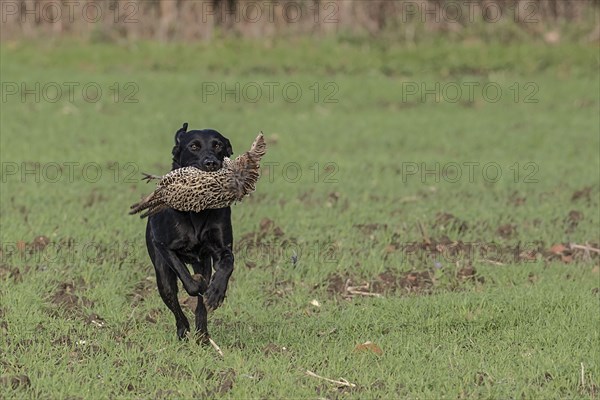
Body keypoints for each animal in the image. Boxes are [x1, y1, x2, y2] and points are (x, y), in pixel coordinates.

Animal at [144, 121, 236, 340]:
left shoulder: (221, 249)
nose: (211, 163)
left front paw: (216, 292)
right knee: (174, 301)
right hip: (162, 276)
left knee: (201, 308)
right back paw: (183, 331)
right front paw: (200, 285)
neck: (197, 211)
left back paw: (202, 335)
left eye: (218, 145)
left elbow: (227, 264)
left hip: (202, 262)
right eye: (193, 146)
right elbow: (189, 282)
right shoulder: (164, 246)